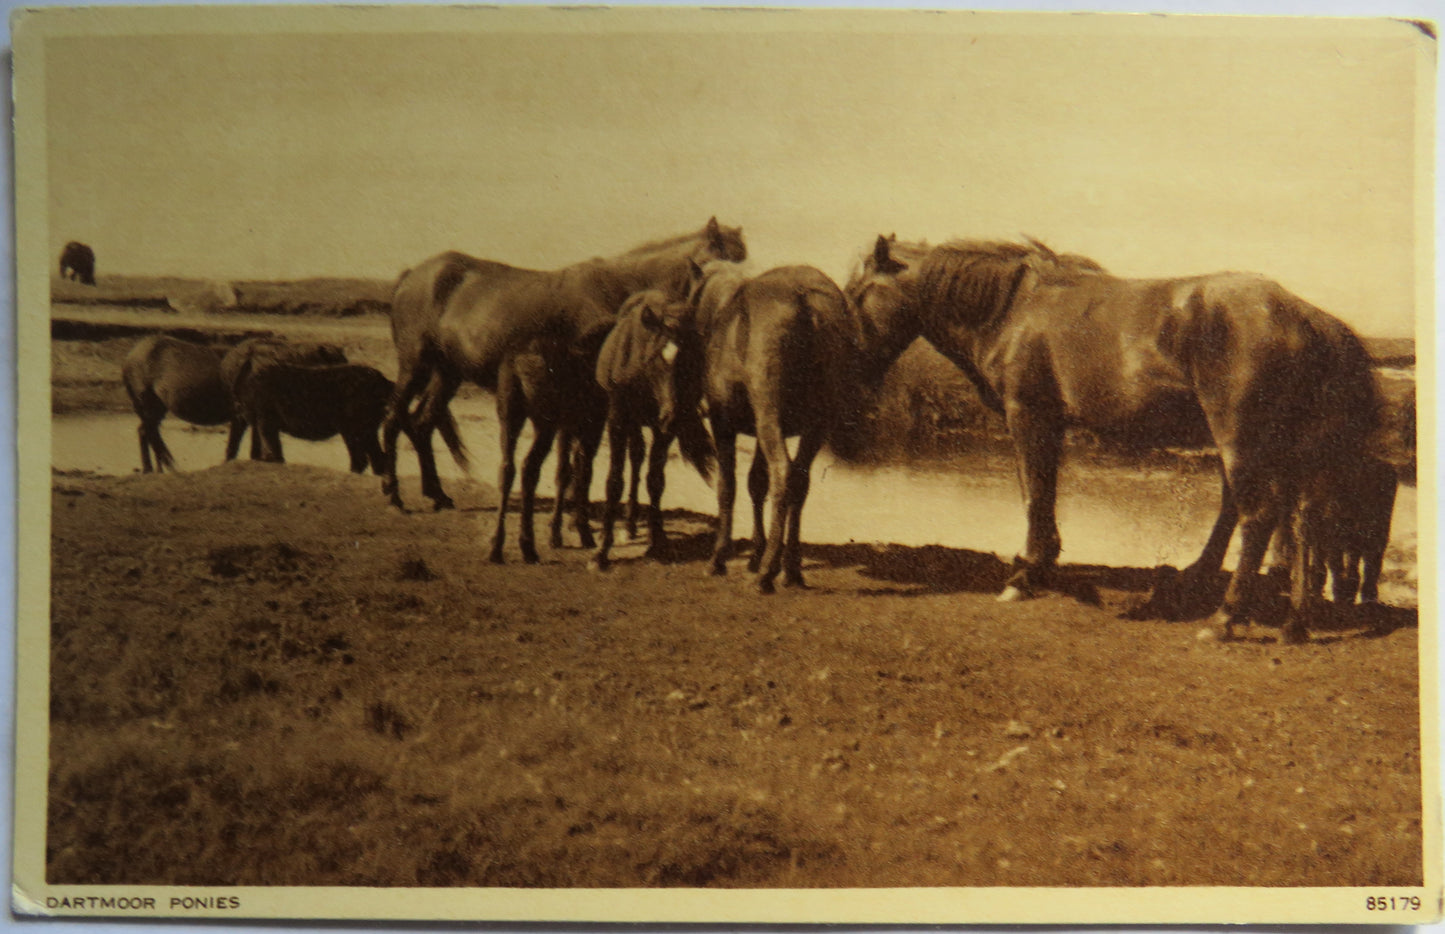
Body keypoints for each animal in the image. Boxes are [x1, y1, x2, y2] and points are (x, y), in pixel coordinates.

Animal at [122, 335, 232, 473]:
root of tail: (130, 355)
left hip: (158, 407)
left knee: (150, 434)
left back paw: (157, 469)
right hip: (149, 404)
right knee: (147, 432)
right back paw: (152, 469)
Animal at [236, 362, 397, 474]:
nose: (240, 411)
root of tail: (382, 380)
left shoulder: (266, 421)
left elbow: (272, 446)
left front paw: (272, 461)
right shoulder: (262, 423)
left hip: (353, 430)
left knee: (362, 459)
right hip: (365, 431)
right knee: (377, 458)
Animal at [587, 290, 715, 571]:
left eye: (690, 360)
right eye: (657, 359)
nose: (675, 414)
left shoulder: (663, 428)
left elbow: (655, 480)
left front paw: (658, 541)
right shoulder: (618, 418)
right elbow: (614, 480)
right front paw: (601, 551)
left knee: (638, 458)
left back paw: (633, 525)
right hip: (632, 422)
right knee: (634, 456)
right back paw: (625, 527)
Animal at [684, 262, 864, 593]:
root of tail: (809, 299)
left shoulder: (723, 422)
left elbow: (727, 486)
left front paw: (719, 558)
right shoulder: (759, 431)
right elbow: (756, 483)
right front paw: (757, 553)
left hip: (770, 414)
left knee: (783, 472)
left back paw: (767, 573)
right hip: (815, 424)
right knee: (799, 481)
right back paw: (790, 569)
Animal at [846, 235, 1382, 641]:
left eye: (858, 292)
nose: (853, 366)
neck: (1015, 309)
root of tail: (1307, 316)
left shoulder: (1028, 416)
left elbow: (1035, 496)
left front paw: (1023, 576)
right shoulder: (1049, 425)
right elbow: (1042, 495)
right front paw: (1042, 566)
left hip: (1241, 438)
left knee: (1259, 516)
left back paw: (1225, 618)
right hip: (1285, 448)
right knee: (1301, 521)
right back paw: (1292, 622)